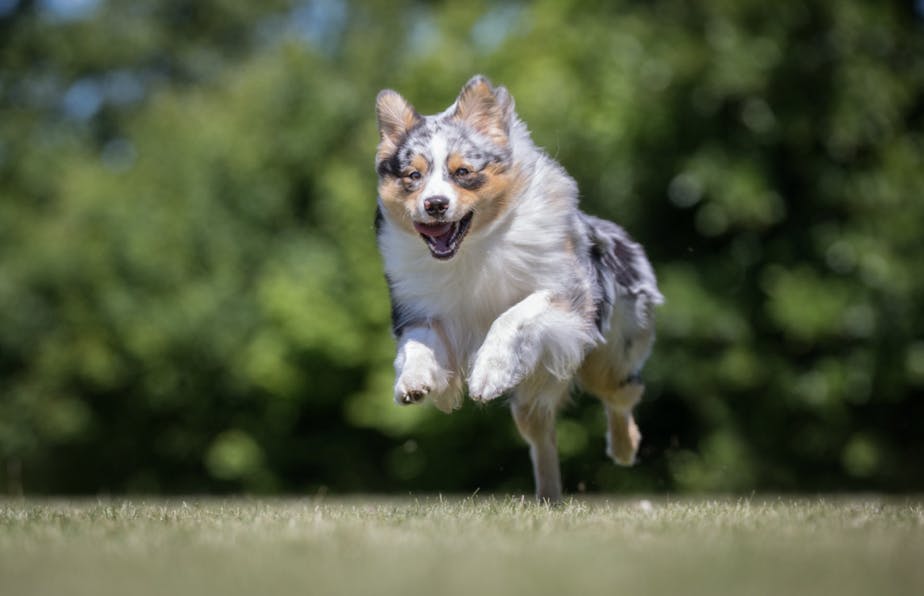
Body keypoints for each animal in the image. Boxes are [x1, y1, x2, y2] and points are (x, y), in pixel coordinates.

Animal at [372, 75, 660, 502]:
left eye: (462, 171)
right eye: (413, 176)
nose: (435, 204)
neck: (472, 248)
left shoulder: (567, 294)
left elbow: (514, 315)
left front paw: (489, 374)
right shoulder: (422, 309)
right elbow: (419, 345)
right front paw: (414, 380)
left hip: (608, 358)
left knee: (621, 396)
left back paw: (624, 448)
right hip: (534, 395)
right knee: (542, 436)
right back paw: (548, 496)